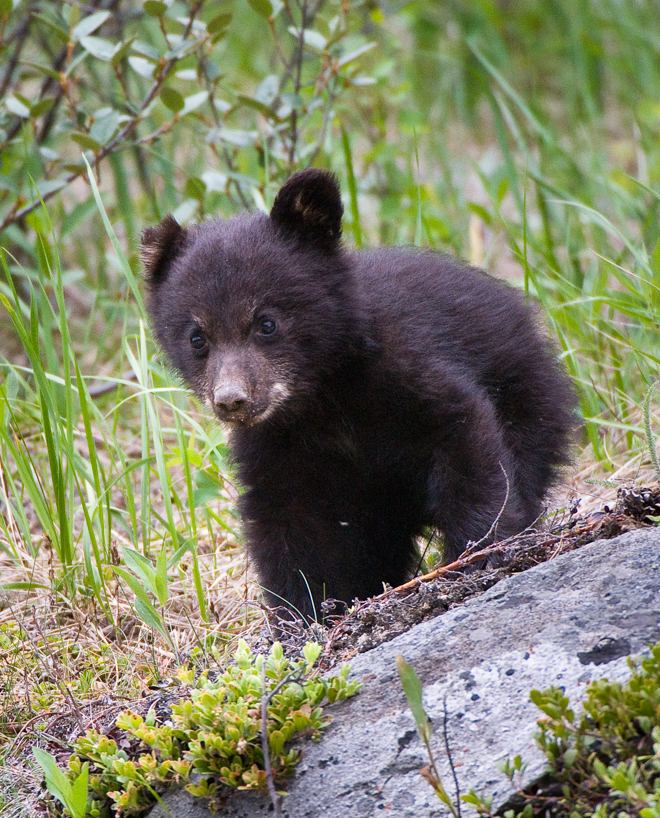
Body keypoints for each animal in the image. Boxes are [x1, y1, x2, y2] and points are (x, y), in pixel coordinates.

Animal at [141, 168, 577, 622]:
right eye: (197, 337)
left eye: (266, 322)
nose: (232, 400)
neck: (322, 401)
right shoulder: (278, 447)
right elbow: (289, 523)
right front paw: (302, 614)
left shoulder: (411, 377)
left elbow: (466, 445)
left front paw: (479, 556)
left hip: (526, 392)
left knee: (526, 458)